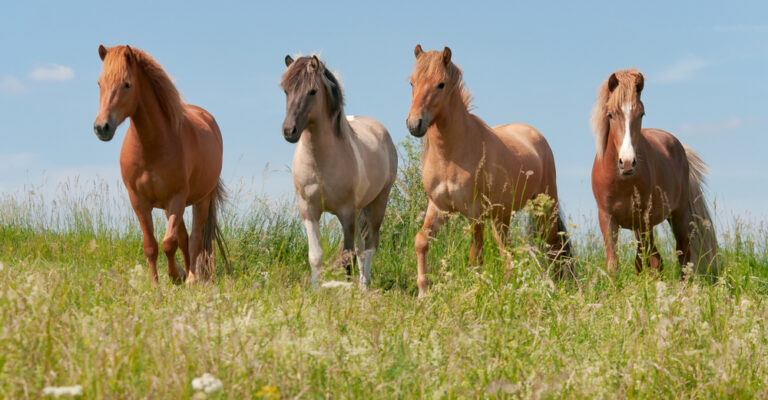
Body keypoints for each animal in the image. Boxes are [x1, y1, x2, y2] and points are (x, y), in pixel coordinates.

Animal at [93, 44, 228, 285]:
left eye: (127, 84)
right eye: (100, 83)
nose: (102, 127)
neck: (152, 146)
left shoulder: (176, 198)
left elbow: (169, 243)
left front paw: (175, 275)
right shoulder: (139, 201)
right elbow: (151, 246)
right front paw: (156, 284)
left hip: (201, 199)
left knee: (194, 238)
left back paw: (192, 277)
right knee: (184, 237)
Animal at [280, 55, 398, 288]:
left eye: (312, 91)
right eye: (286, 90)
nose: (289, 131)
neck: (320, 163)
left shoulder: (346, 212)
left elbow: (347, 255)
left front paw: (349, 290)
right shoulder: (308, 210)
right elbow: (315, 255)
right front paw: (315, 290)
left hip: (378, 203)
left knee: (369, 245)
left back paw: (364, 286)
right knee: (362, 248)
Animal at [406, 45, 571, 296]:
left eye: (441, 84)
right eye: (412, 82)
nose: (415, 124)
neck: (450, 155)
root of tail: (535, 135)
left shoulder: (475, 214)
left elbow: (476, 257)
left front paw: (475, 290)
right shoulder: (438, 207)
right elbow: (421, 241)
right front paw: (424, 291)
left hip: (545, 207)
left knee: (553, 247)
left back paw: (557, 285)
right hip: (502, 217)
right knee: (508, 253)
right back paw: (508, 286)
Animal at [590, 69, 718, 277]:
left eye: (641, 113)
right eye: (610, 115)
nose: (627, 162)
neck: (621, 181)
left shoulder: (645, 219)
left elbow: (647, 261)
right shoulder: (607, 218)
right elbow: (614, 264)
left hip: (677, 216)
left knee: (682, 255)